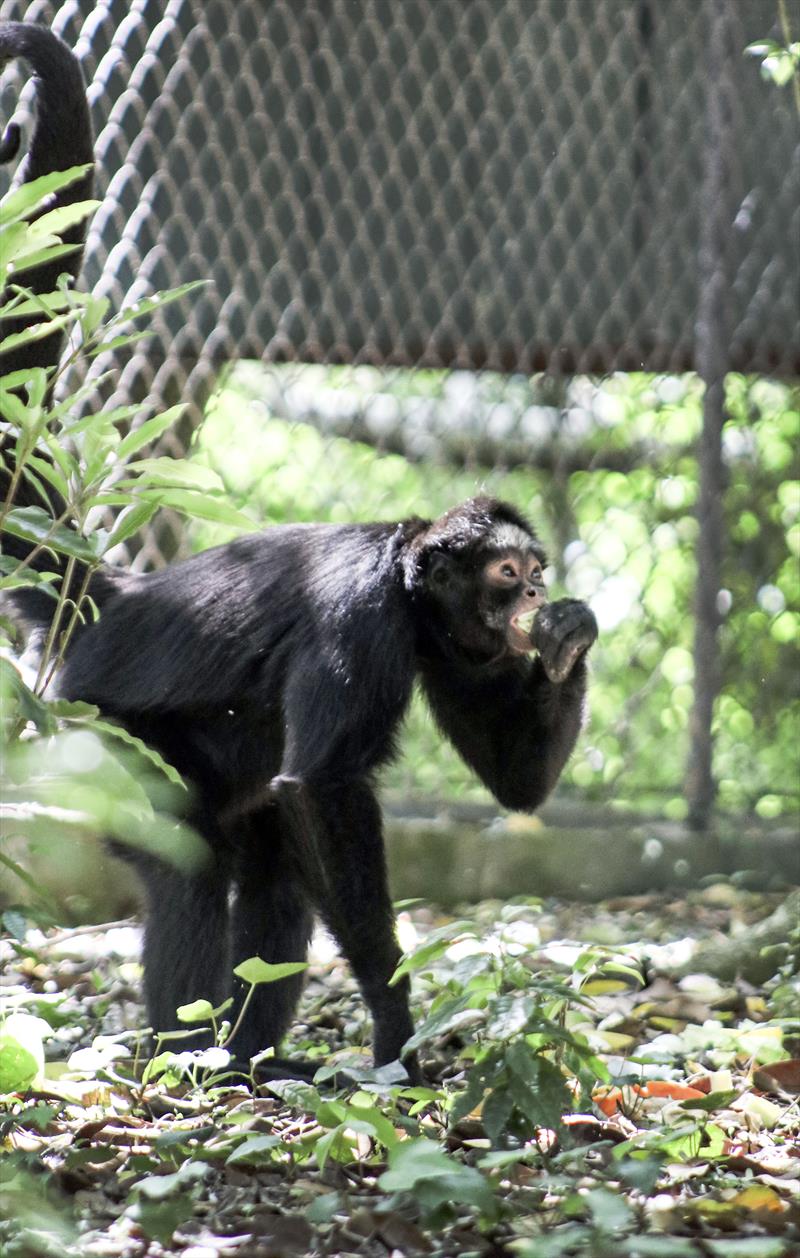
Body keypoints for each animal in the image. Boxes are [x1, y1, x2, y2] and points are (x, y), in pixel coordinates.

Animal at [1, 17, 598, 1081]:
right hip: (97, 728)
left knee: (270, 858)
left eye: (532, 574)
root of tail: (113, 600)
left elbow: (514, 785)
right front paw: (398, 1032)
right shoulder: (362, 619)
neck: (405, 580)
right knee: (197, 855)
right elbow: (322, 789)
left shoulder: (447, 644)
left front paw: (573, 634)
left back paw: (251, 1060)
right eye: (505, 574)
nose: (534, 597)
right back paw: (184, 1059)